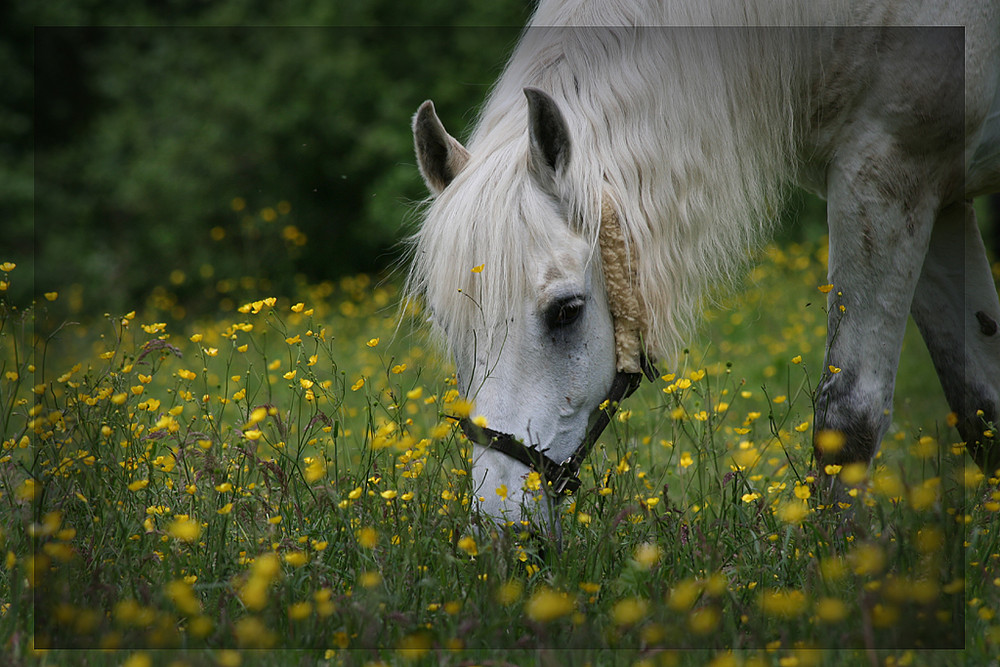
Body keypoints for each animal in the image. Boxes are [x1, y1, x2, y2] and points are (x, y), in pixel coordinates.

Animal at [406, 0, 1000, 532]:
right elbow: (982, 408)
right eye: (445, 325)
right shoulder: (938, 202)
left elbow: (849, 420)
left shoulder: (888, 179)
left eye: (567, 312)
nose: (501, 532)